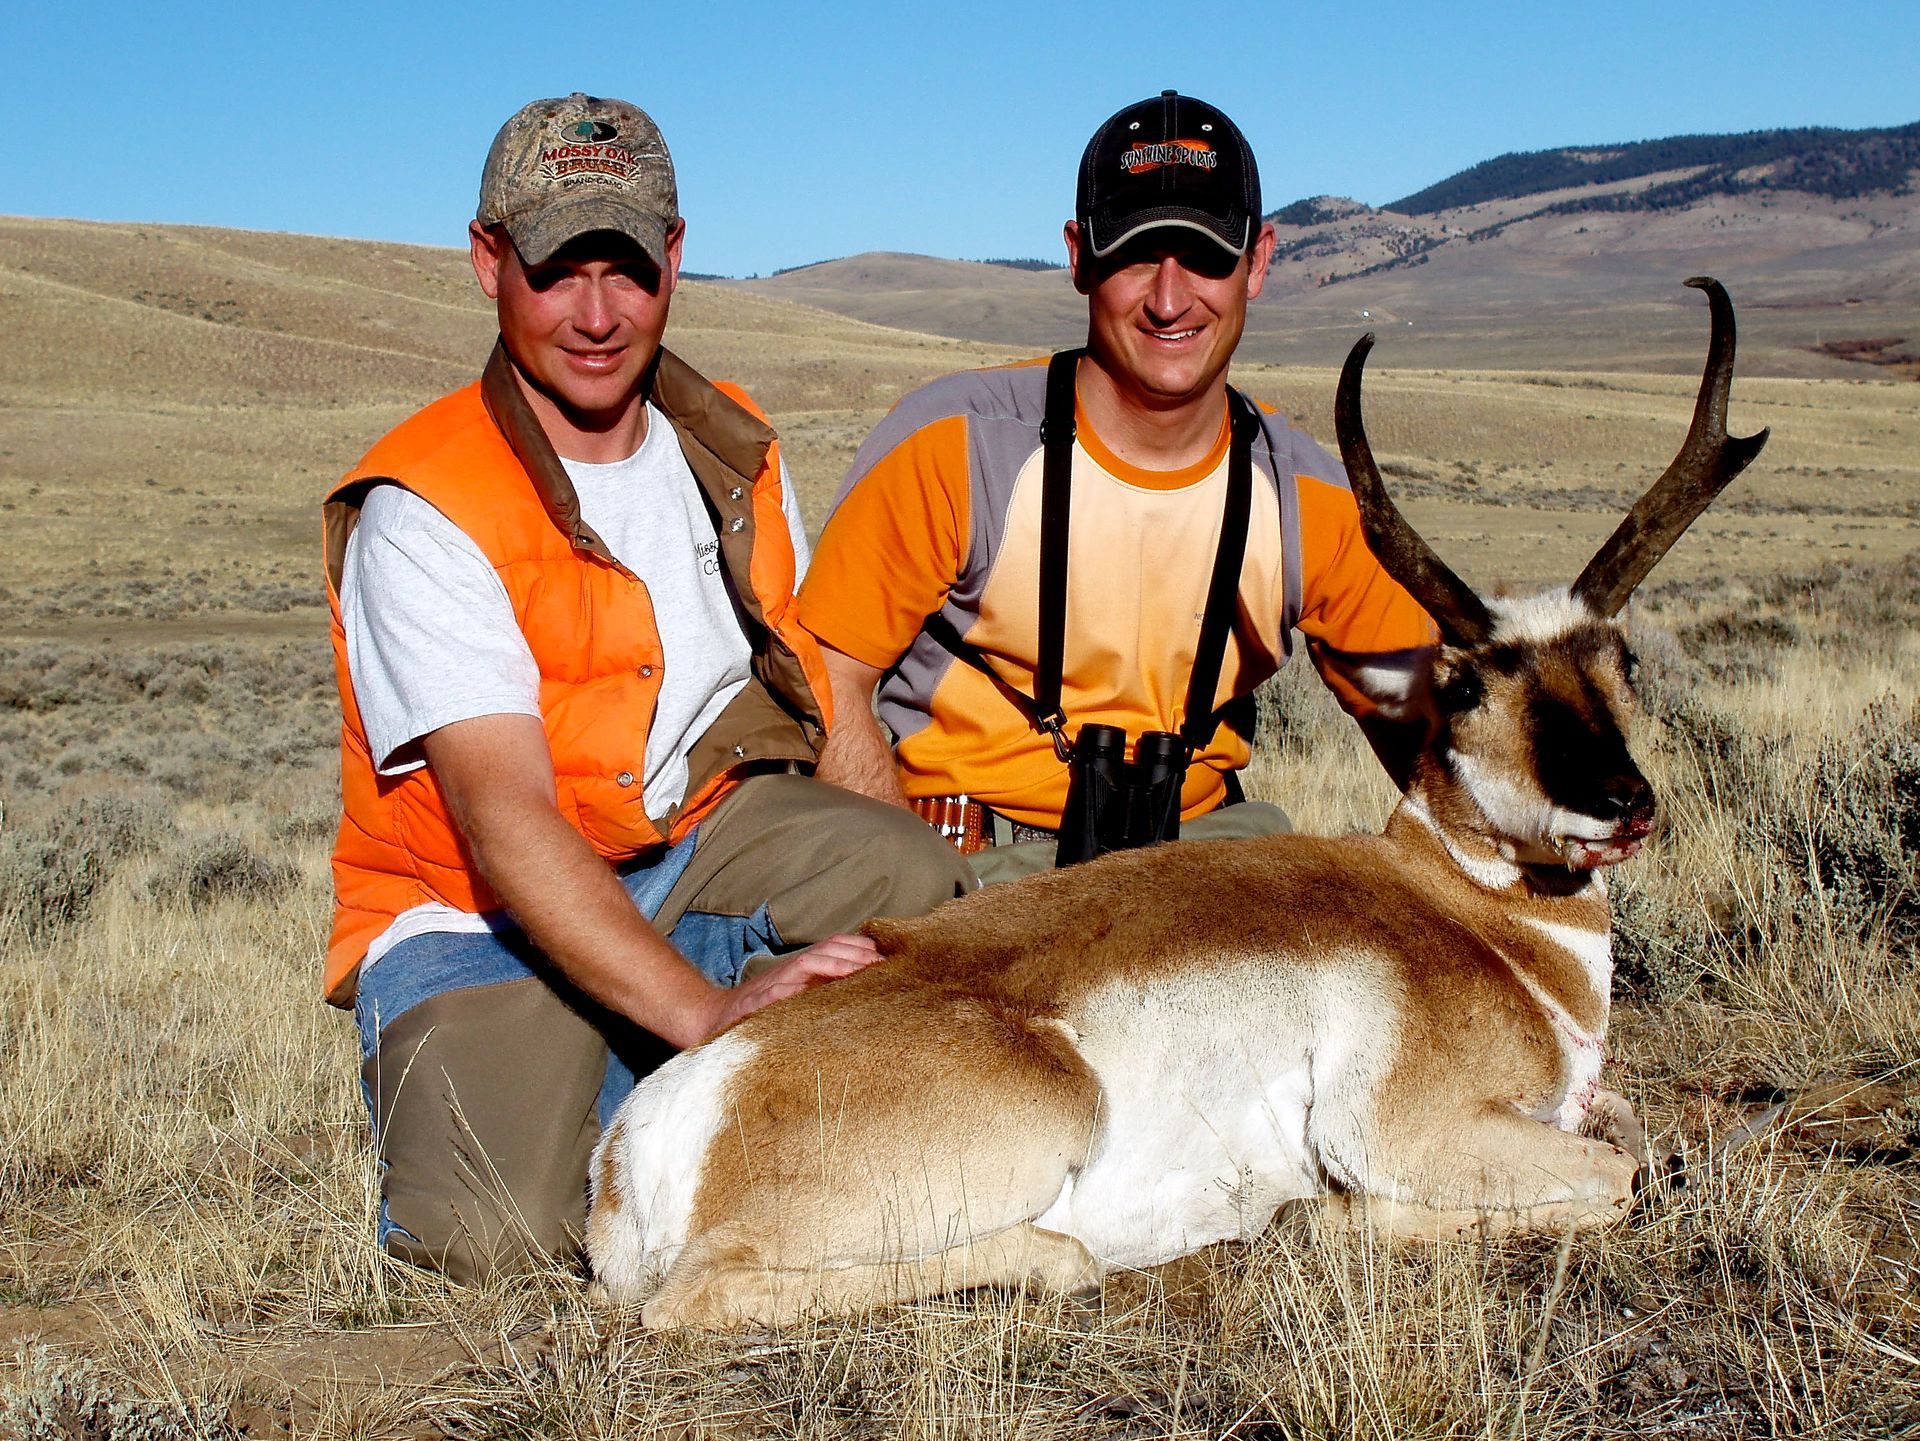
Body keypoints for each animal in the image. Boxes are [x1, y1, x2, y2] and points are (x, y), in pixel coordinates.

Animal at [586, 277, 1769, 1330]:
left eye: (1618, 660)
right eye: (1468, 685)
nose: (1622, 801)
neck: (1467, 917)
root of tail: (642, 1140)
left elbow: (1633, 1132)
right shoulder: (1415, 1127)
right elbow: (1615, 1175)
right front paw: (1319, 1218)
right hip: (1041, 1114)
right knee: (707, 1294)